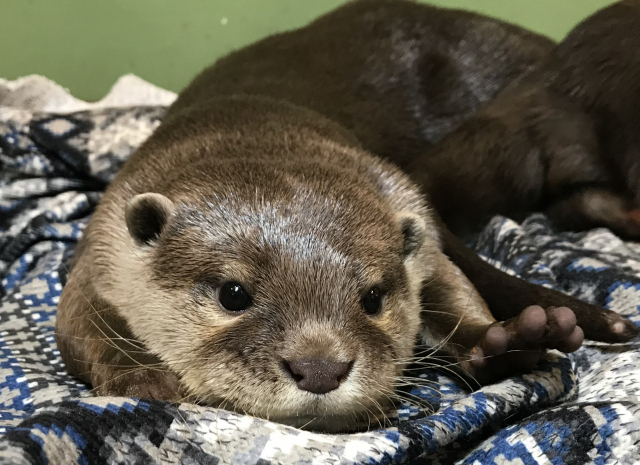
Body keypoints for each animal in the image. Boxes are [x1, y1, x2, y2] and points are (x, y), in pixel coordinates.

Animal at [57, 0, 636, 432]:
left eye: (373, 298)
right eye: (233, 294)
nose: (320, 368)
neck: (252, 125)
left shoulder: (413, 220)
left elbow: (451, 286)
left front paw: (502, 344)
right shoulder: (103, 246)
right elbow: (80, 325)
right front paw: (143, 379)